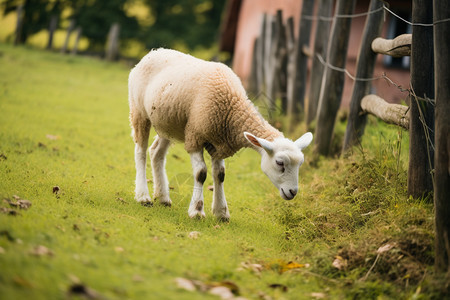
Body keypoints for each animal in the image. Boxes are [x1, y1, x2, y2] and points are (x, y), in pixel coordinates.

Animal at [127, 47, 312, 220]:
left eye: (301, 164)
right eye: (280, 163)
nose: (293, 192)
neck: (232, 109)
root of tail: (153, 52)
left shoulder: (219, 142)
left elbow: (220, 174)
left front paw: (221, 212)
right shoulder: (195, 136)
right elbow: (201, 173)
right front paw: (197, 211)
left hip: (169, 123)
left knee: (156, 152)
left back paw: (163, 197)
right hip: (139, 111)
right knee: (140, 152)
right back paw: (143, 196)